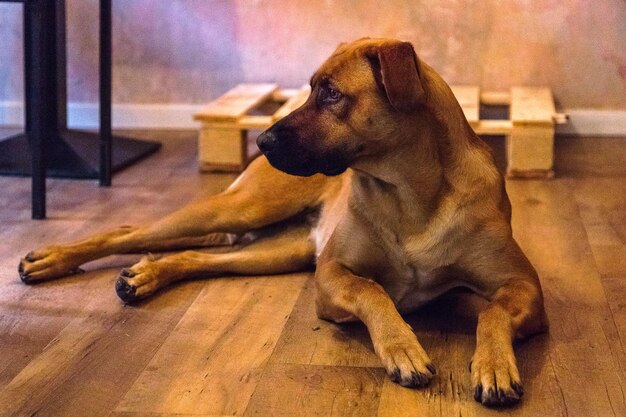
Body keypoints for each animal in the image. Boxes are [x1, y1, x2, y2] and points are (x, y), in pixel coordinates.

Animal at [17, 39, 544, 406]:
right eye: (310, 90)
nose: (263, 141)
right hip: (242, 209)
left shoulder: (523, 285)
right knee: (127, 231)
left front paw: (494, 366)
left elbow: (493, 311)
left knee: (194, 255)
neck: (411, 191)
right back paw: (51, 259)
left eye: (331, 94)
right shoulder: (331, 274)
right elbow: (372, 290)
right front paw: (403, 348)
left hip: (276, 251)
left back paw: (145, 275)